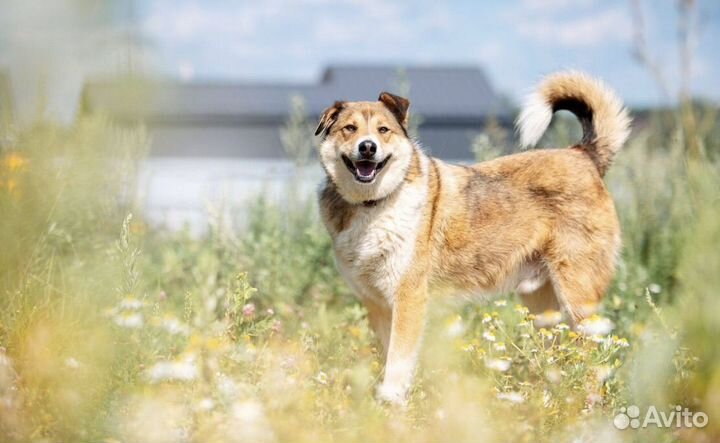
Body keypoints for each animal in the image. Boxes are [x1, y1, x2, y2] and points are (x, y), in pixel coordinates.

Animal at [316, 72, 632, 406]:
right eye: (349, 128)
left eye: (383, 130)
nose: (367, 147)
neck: (374, 205)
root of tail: (583, 154)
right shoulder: (376, 304)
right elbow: (390, 355)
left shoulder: (408, 299)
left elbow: (398, 361)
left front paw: (390, 404)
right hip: (543, 305)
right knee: (557, 348)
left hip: (577, 297)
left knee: (592, 355)